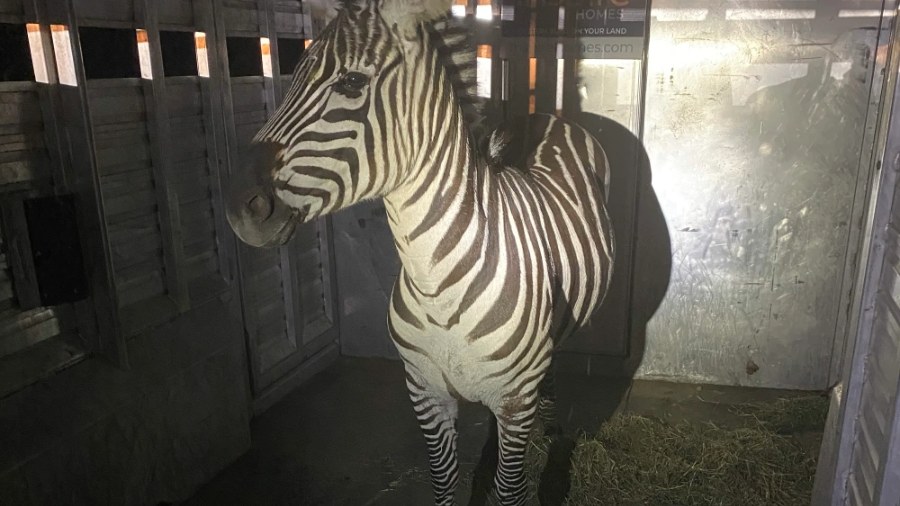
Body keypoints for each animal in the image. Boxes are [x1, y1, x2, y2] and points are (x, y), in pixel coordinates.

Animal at [229, 0, 616, 502]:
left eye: (351, 82)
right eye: (293, 75)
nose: (240, 206)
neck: (438, 285)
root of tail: (543, 116)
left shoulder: (514, 399)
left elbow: (509, 490)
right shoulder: (425, 391)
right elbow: (444, 482)